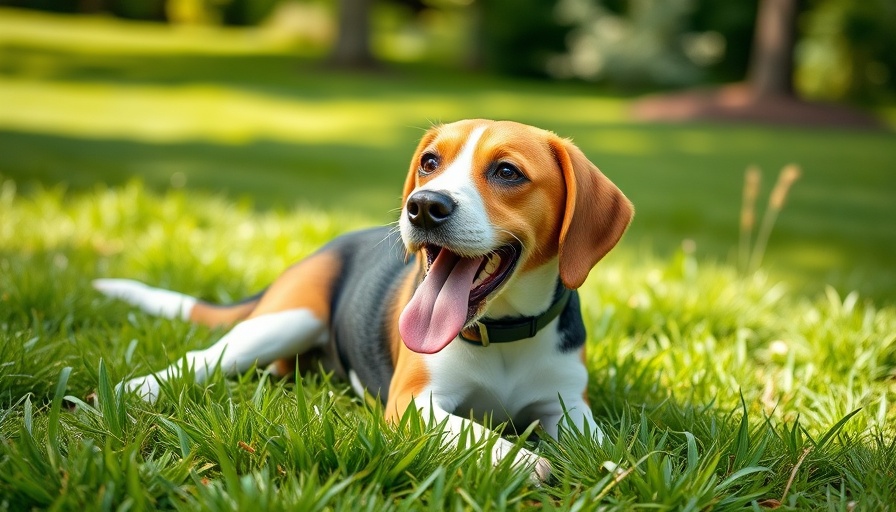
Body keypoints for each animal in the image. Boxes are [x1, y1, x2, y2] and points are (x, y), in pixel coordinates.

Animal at [94, 120, 632, 480]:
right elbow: (475, 430)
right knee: (203, 357)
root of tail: (329, 245)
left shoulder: (568, 404)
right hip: (284, 320)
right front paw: (520, 458)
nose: (424, 206)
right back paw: (136, 389)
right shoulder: (414, 403)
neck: (503, 334)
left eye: (507, 172)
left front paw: (610, 463)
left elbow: (595, 440)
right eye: (430, 162)